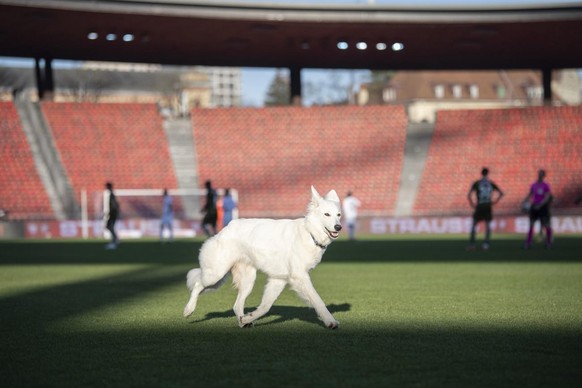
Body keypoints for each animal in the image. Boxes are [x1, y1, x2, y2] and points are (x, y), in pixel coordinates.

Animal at [185, 185, 344, 328]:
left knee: (237, 305)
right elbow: (318, 301)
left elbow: (265, 306)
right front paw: (330, 321)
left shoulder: (278, 280)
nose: (339, 227)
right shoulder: (300, 277)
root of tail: (226, 228)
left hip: (246, 281)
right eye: (327, 214)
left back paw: (243, 322)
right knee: (197, 285)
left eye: (338, 215)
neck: (309, 233)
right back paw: (189, 309)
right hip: (215, 274)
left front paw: (248, 317)